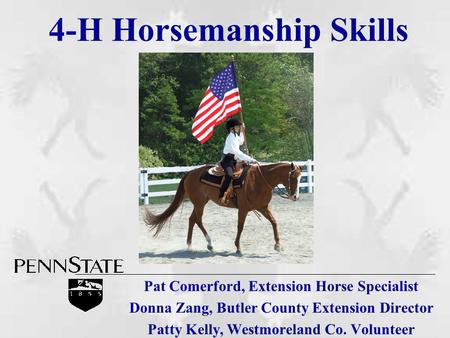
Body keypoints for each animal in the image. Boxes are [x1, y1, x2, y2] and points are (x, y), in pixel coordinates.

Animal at [144, 162, 300, 255]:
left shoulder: (263, 207)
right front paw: (238, 248)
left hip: (200, 203)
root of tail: (190, 173)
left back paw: (190, 245)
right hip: (199, 203)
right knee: (198, 220)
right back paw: (209, 244)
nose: (295, 197)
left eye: (300, 177)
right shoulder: (243, 209)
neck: (259, 180)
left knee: (192, 219)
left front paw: (278, 245)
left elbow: (274, 222)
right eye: (293, 177)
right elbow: (240, 227)